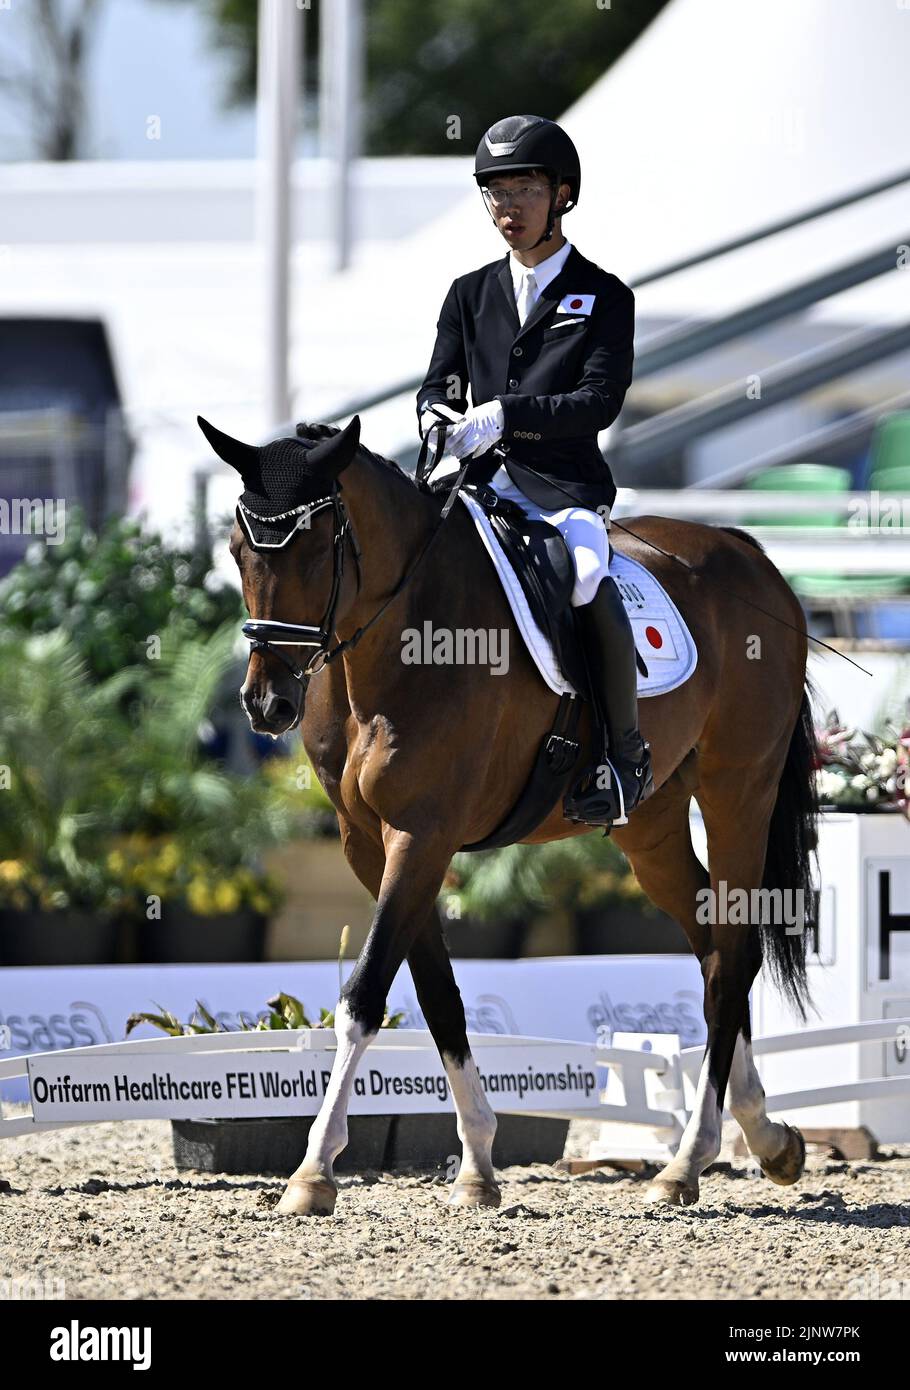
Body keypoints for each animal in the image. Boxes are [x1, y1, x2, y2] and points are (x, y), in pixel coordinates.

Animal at [208, 414, 816, 1217]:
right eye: (237, 549)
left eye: (315, 548)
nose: (267, 704)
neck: (400, 632)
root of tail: (748, 553)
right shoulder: (369, 845)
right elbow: (438, 996)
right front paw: (477, 1166)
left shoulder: (422, 834)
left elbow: (366, 994)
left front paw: (313, 1173)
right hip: (651, 825)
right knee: (714, 946)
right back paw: (765, 1136)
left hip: (738, 791)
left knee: (735, 953)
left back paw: (685, 1163)